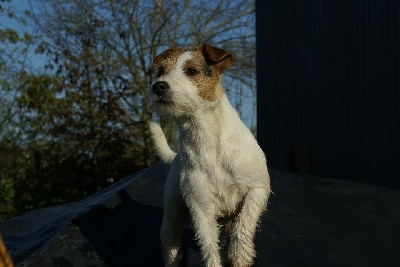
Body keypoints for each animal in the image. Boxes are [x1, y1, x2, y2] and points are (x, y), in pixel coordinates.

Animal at [150, 44, 272, 267]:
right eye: (161, 71)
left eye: (191, 71)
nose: (158, 86)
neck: (207, 139)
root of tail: (176, 157)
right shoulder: (202, 209)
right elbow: (209, 248)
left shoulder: (258, 189)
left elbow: (245, 222)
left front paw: (240, 254)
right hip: (171, 220)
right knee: (171, 248)